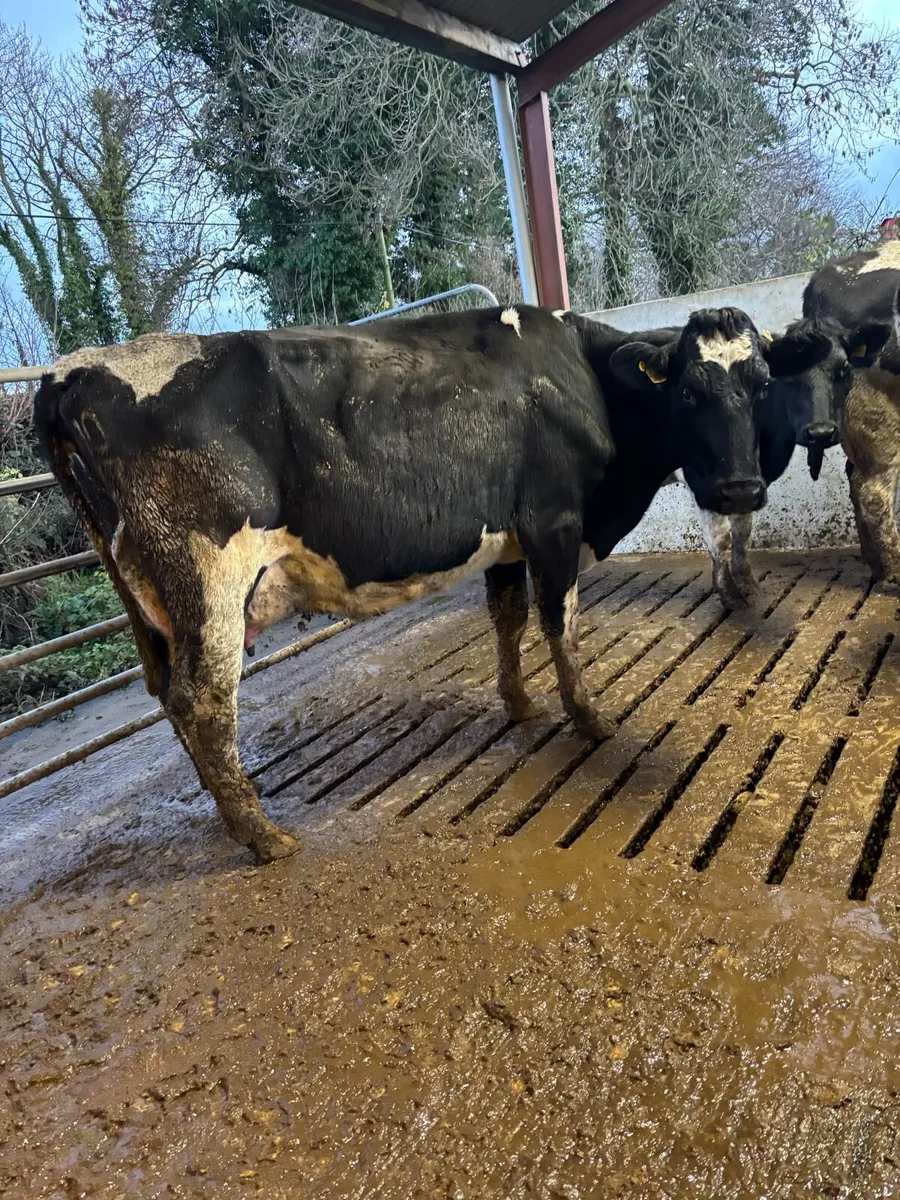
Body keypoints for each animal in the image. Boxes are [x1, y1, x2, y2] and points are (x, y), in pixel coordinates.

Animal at [34, 305, 828, 863]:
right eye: (690, 392)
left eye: (761, 385)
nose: (739, 489)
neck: (583, 378)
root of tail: (70, 372)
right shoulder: (553, 520)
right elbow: (560, 619)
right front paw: (588, 717)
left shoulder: (507, 536)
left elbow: (508, 617)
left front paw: (521, 703)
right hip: (208, 581)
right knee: (201, 700)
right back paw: (262, 835)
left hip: (155, 604)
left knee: (169, 695)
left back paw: (224, 803)